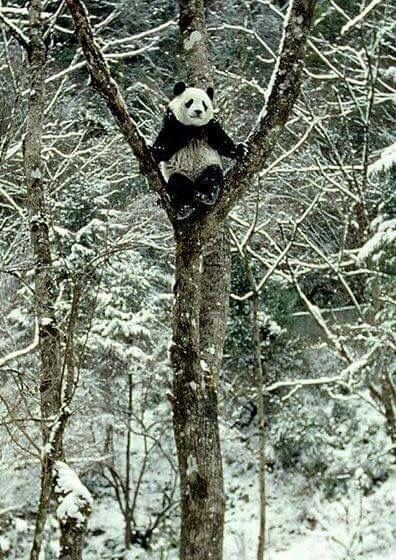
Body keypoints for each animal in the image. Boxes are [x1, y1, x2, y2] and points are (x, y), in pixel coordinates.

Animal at [153, 82, 246, 220]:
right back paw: (184, 207)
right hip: (179, 173)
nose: (198, 111)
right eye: (190, 102)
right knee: (178, 184)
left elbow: (222, 142)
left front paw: (240, 149)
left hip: (206, 165)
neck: (193, 128)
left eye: (204, 104)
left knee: (212, 176)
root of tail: (195, 184)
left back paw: (206, 196)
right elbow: (164, 146)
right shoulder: (172, 124)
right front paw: (154, 152)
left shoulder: (210, 127)